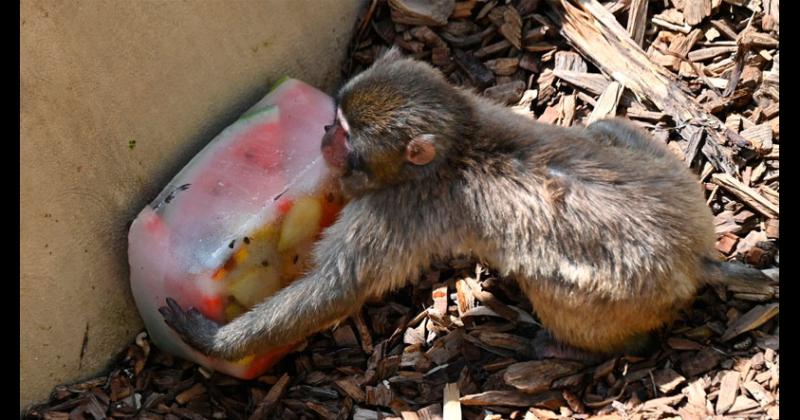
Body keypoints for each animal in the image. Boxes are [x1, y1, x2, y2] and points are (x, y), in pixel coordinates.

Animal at [159, 45, 772, 360]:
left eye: (346, 135)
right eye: (334, 123)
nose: (324, 140)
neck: (459, 141)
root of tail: (695, 256)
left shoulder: (396, 211)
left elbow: (339, 288)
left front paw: (214, 342)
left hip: (620, 296)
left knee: (556, 291)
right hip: (679, 184)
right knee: (603, 128)